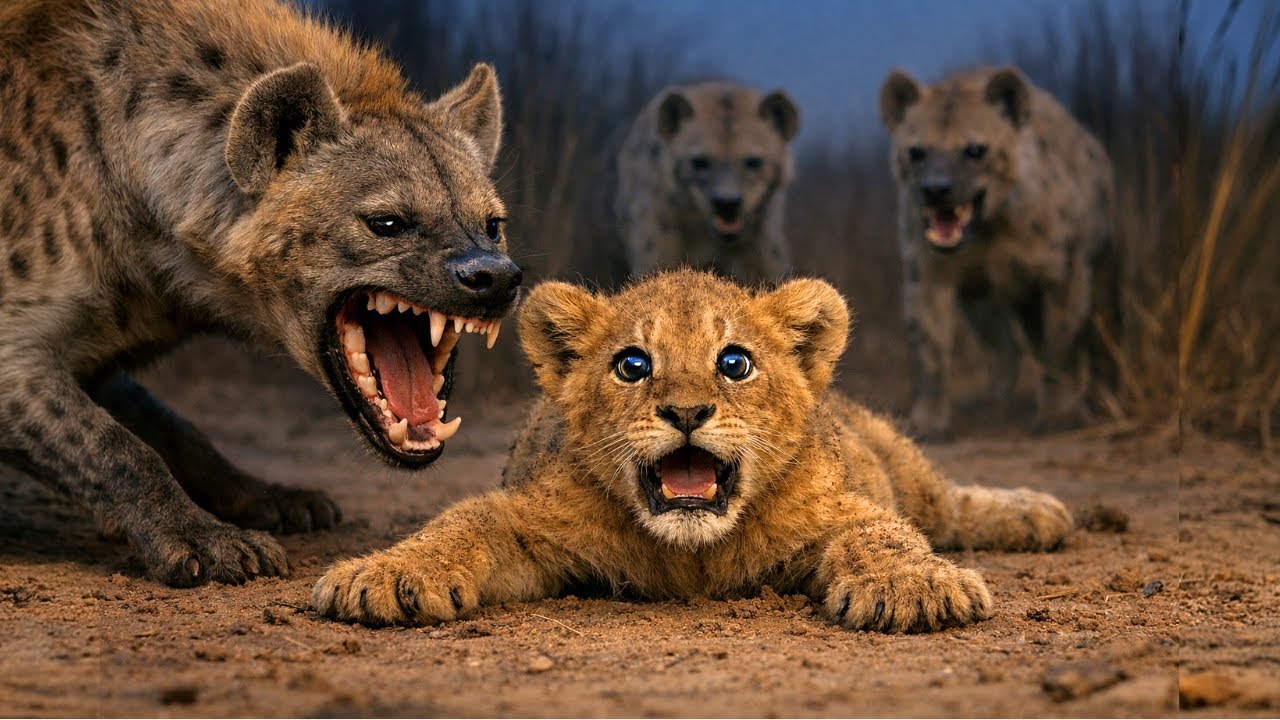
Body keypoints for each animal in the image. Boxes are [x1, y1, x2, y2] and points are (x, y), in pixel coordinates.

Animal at [313, 270, 1071, 632]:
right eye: (632, 365)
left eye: (734, 363)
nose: (684, 412)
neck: (692, 557)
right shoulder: (532, 524)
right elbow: (464, 519)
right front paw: (383, 574)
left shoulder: (842, 509)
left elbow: (885, 535)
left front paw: (916, 588)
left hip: (896, 455)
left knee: (943, 504)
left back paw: (1037, 512)